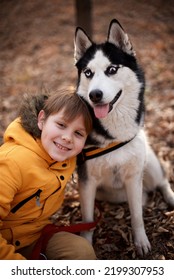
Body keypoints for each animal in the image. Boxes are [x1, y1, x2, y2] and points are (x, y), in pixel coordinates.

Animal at [73, 19, 174, 256]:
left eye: (112, 70)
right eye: (88, 72)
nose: (95, 95)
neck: (113, 136)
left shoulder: (133, 176)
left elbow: (137, 216)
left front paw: (141, 242)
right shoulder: (87, 181)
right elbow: (88, 220)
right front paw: (86, 244)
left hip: (150, 162)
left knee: (162, 179)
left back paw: (171, 197)